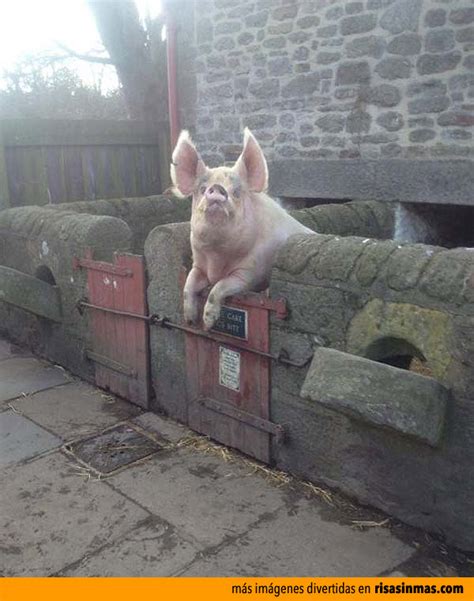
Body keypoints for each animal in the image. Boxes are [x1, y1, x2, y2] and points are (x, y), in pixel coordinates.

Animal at [171, 127, 314, 330]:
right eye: (202, 189)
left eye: (237, 192)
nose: (217, 188)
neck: (217, 257)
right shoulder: (198, 265)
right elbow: (188, 285)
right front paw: (190, 320)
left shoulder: (251, 273)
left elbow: (219, 287)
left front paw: (208, 323)